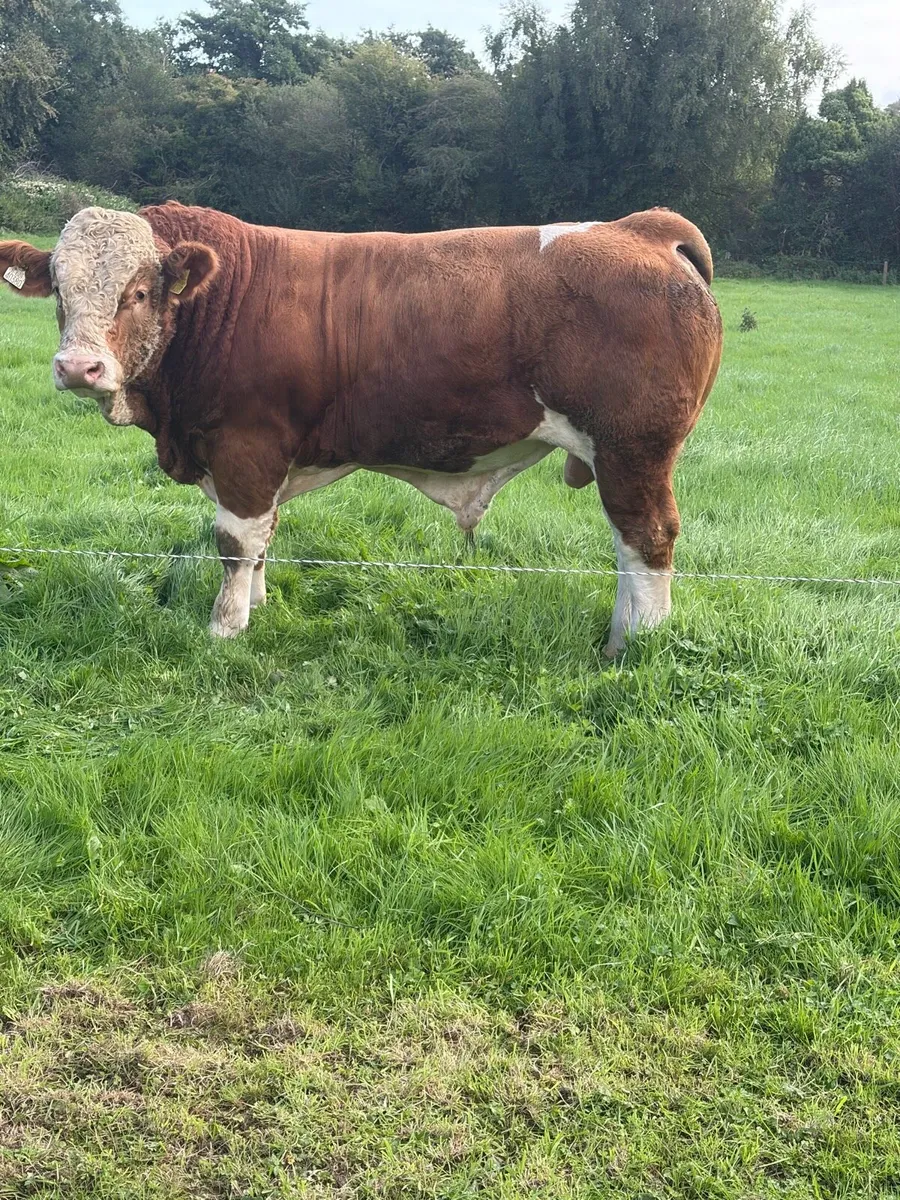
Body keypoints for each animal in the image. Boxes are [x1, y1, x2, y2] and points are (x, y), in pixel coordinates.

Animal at [1, 203, 722, 654]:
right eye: (59, 291)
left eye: (140, 292)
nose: (78, 367)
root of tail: (639, 229)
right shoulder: (263, 462)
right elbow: (263, 538)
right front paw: (259, 606)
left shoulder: (244, 446)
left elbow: (235, 542)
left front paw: (226, 628)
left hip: (634, 449)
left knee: (646, 540)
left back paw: (633, 644)